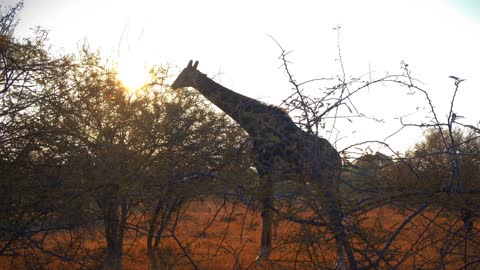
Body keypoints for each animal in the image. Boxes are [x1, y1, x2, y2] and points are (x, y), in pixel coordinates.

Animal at [172, 59, 348, 264]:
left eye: (183, 74)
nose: (173, 85)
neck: (252, 125)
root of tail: (338, 160)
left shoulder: (264, 169)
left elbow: (265, 211)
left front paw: (261, 255)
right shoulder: (267, 172)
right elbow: (268, 211)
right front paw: (266, 253)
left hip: (326, 180)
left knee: (335, 213)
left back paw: (340, 261)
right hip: (321, 182)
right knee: (336, 212)